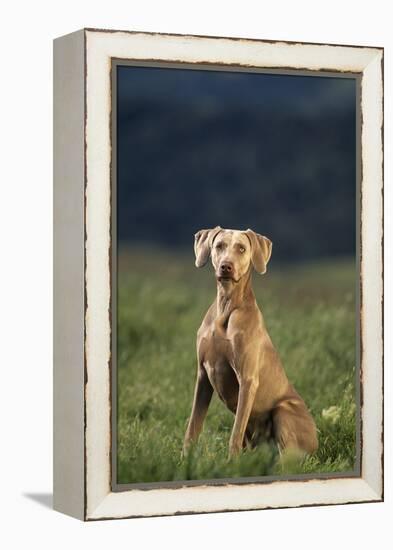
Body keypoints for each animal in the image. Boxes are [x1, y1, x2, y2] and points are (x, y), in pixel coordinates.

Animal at [182, 226, 316, 460]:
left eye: (242, 248)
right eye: (219, 246)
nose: (226, 266)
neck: (226, 307)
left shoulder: (247, 379)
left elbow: (234, 433)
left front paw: (231, 463)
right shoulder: (203, 376)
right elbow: (193, 427)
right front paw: (183, 460)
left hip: (284, 410)